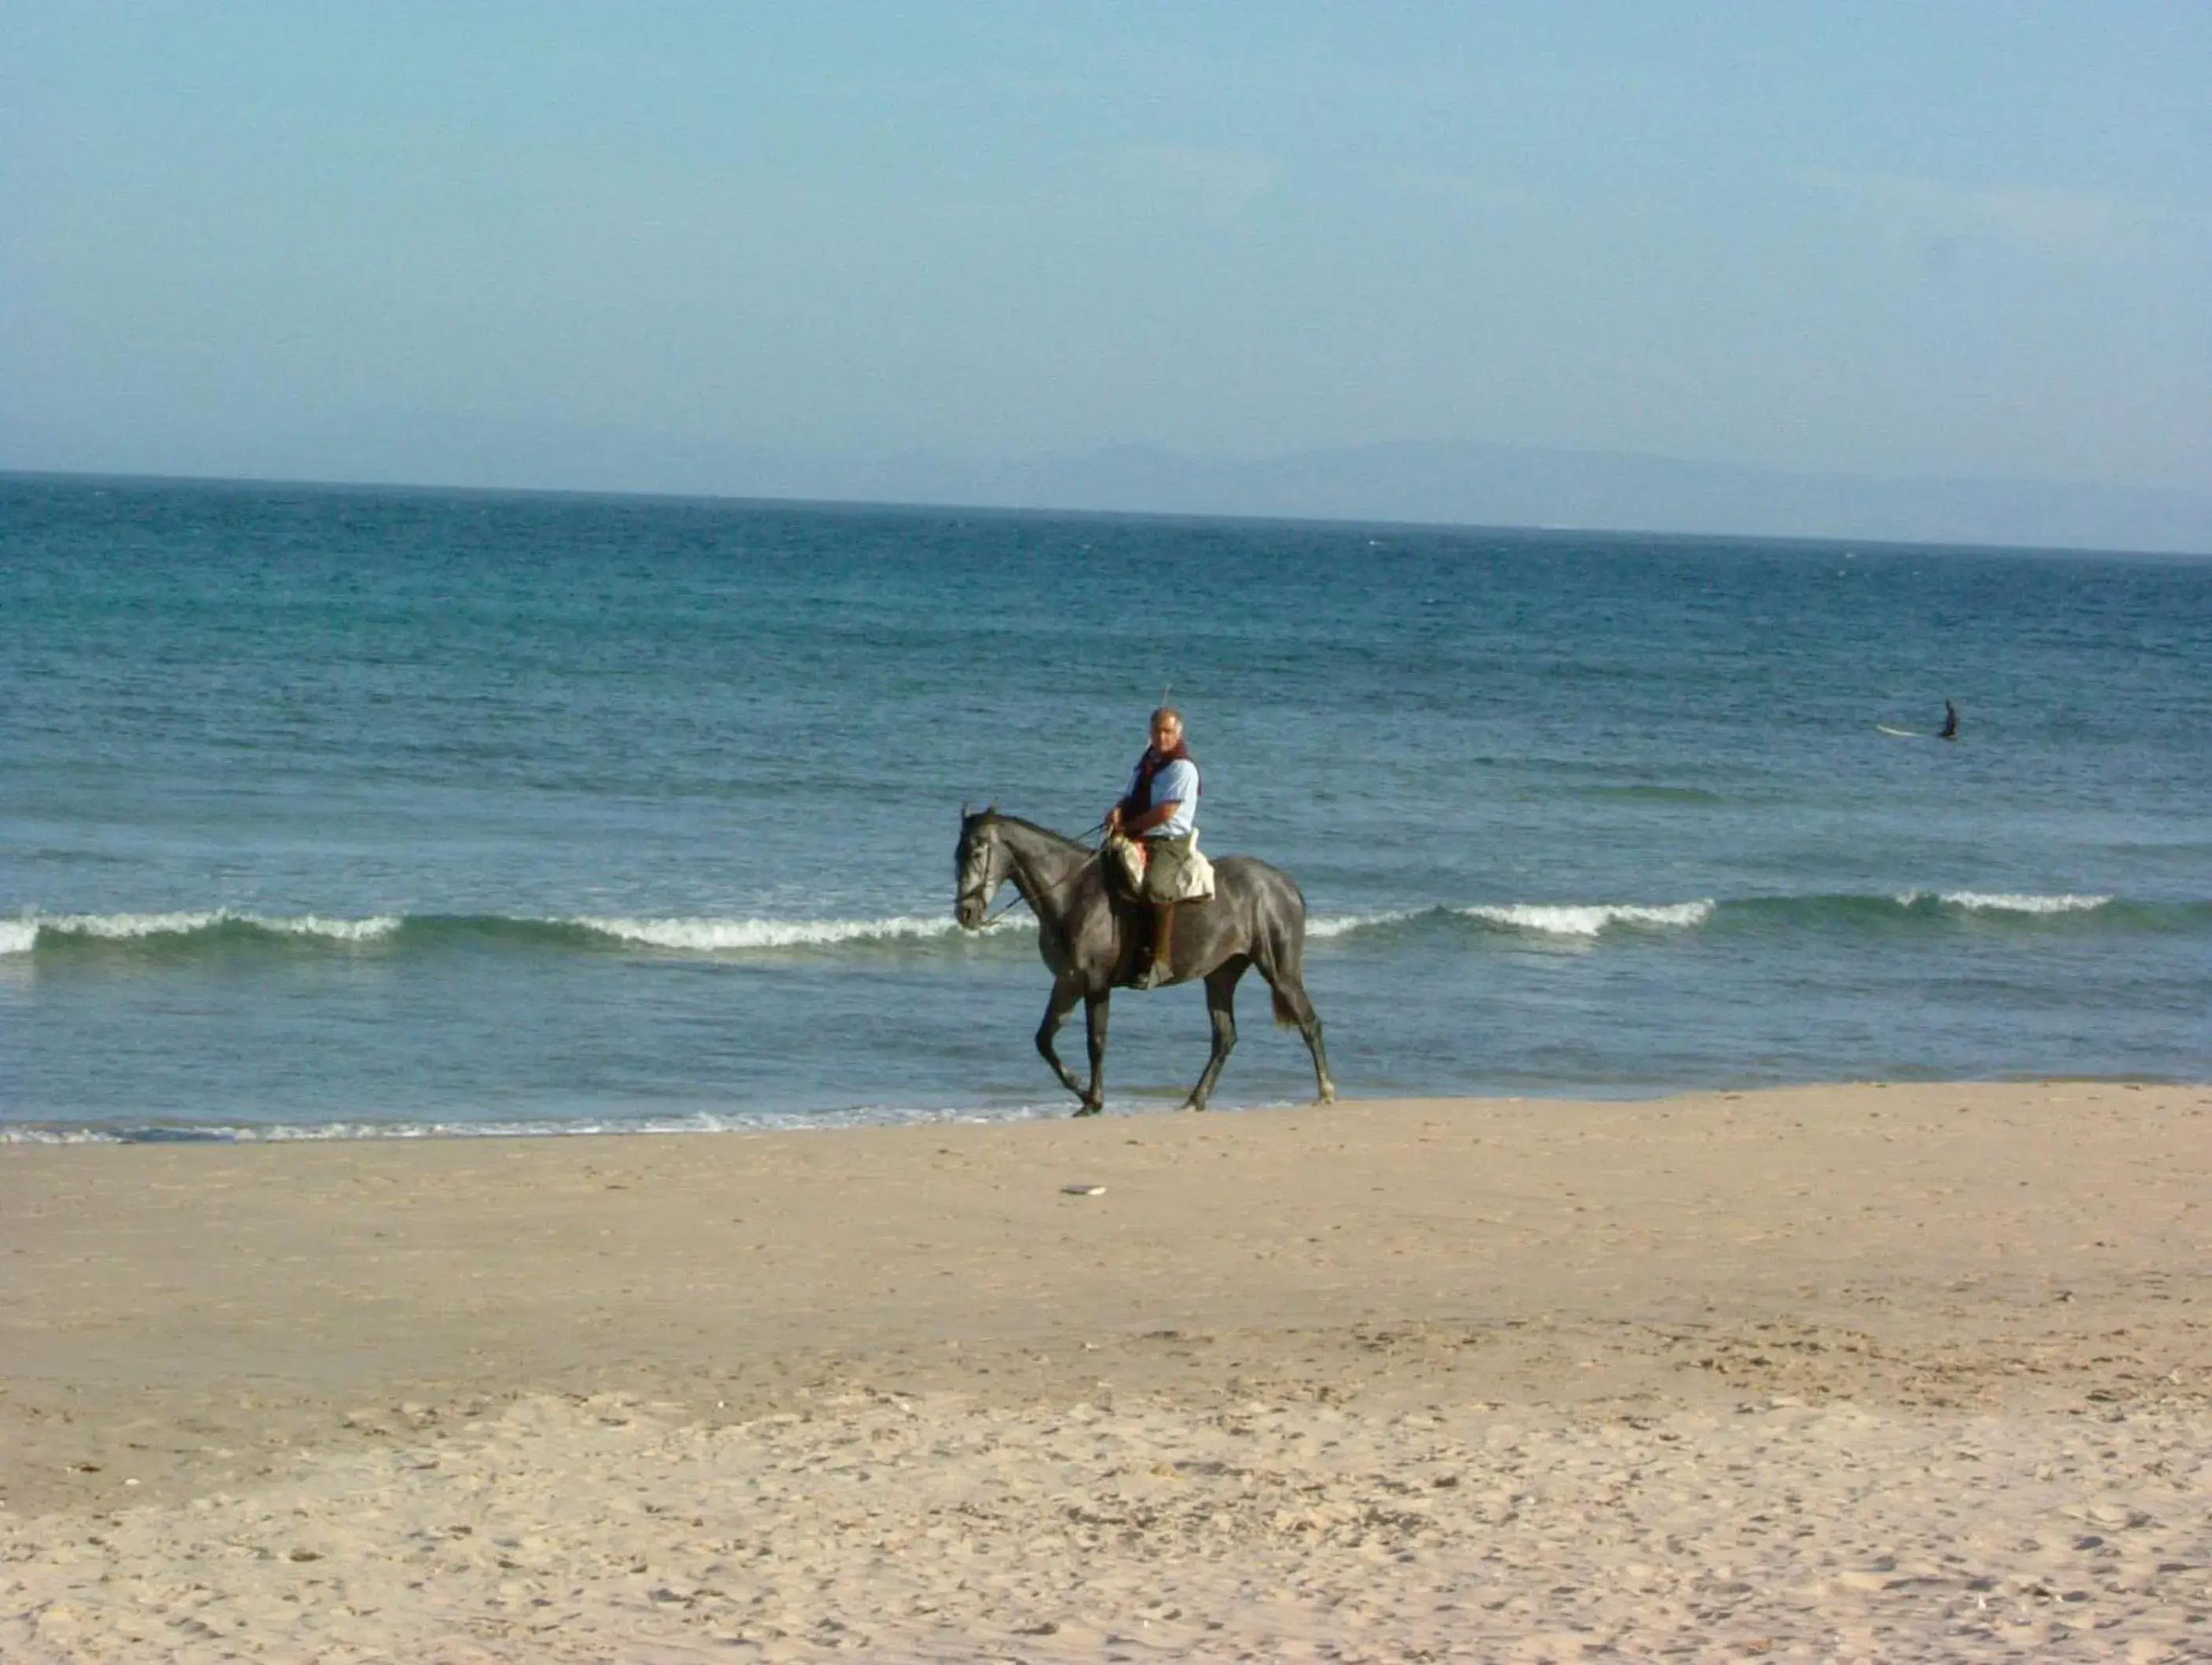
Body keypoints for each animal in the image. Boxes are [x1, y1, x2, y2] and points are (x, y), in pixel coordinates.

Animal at [947, 809, 1327, 1118]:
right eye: (958, 854)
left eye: (978, 852)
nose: (966, 913)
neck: (1073, 894)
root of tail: (1284, 884)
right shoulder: (1068, 982)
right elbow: (1044, 1040)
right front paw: (1081, 1091)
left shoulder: (1096, 984)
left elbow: (1096, 1042)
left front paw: (1094, 1101)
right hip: (1220, 975)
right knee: (1225, 1037)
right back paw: (1195, 1100)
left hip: (1280, 971)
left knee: (1308, 1022)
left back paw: (1326, 1092)